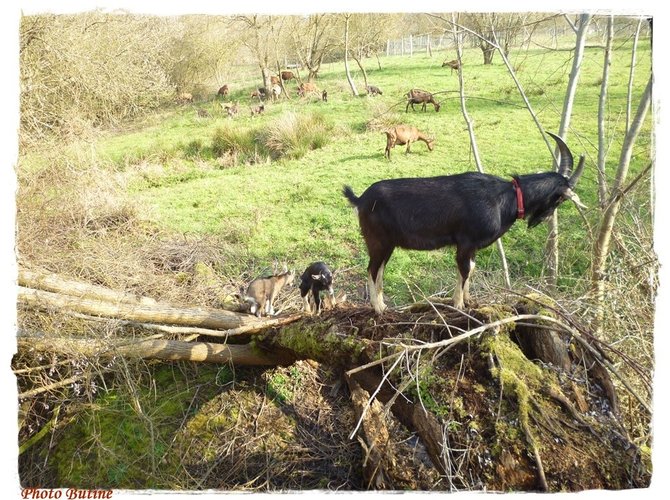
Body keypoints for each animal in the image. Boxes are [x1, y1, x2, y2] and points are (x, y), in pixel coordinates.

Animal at [346, 133, 588, 312]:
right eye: (560, 198)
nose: (544, 218)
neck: (507, 198)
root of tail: (360, 199)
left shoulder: (472, 248)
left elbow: (471, 269)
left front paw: (469, 300)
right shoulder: (465, 243)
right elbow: (464, 270)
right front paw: (459, 304)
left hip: (387, 244)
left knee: (379, 270)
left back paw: (382, 304)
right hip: (378, 241)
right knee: (372, 269)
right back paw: (378, 308)